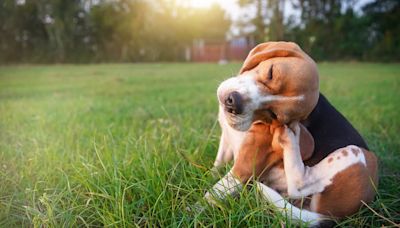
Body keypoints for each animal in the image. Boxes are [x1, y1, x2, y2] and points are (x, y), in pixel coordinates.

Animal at [203, 41, 378, 225]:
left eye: (274, 115)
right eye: (271, 73)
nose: (233, 103)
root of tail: (331, 216)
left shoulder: (244, 168)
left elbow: (211, 195)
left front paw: (194, 210)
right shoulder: (226, 141)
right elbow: (218, 164)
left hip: (357, 155)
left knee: (300, 184)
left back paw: (290, 138)